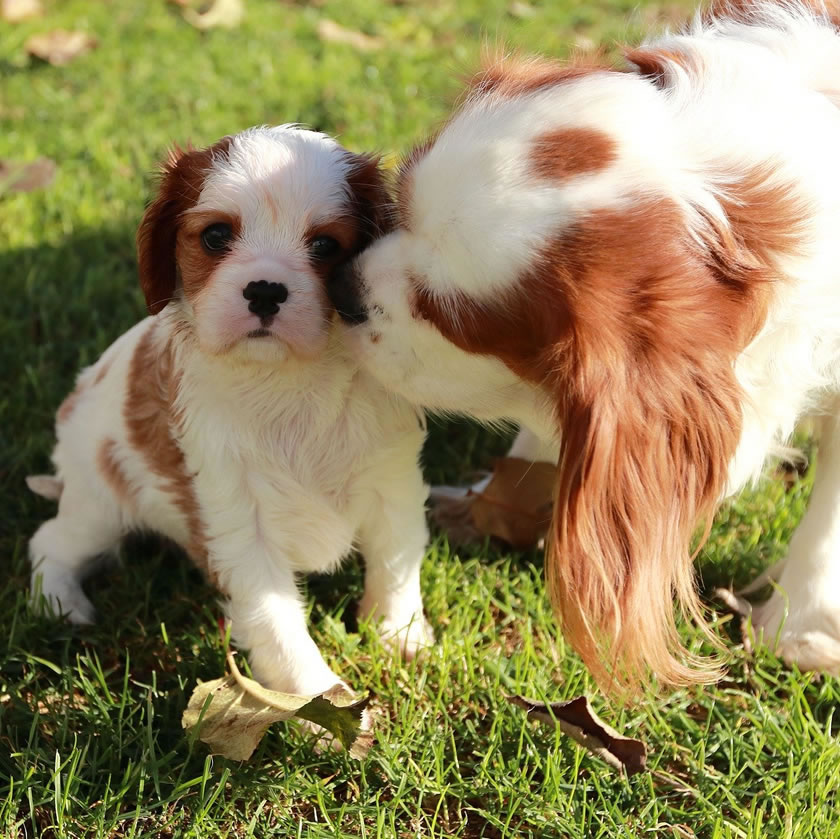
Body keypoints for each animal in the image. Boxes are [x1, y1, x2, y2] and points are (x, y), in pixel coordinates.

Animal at [28, 124, 430, 700]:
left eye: (325, 245)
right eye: (217, 236)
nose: (264, 289)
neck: (287, 382)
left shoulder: (392, 482)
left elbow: (396, 561)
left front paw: (400, 634)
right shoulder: (238, 519)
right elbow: (278, 622)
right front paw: (319, 700)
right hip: (100, 503)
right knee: (51, 541)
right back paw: (61, 602)